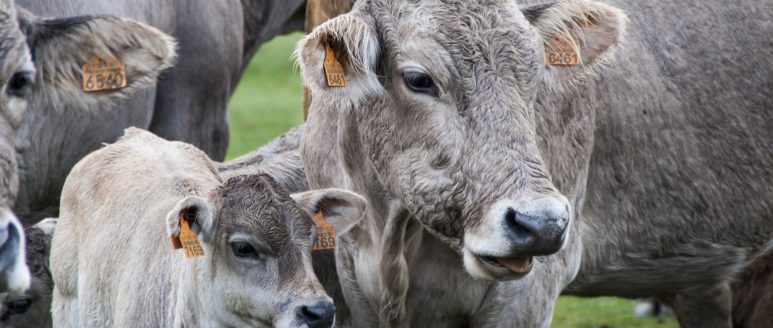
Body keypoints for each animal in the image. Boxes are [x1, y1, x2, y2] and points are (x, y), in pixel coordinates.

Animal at [298, 0, 772, 326]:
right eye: (418, 79)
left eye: (534, 76)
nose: (541, 224)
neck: (392, 239)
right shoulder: (354, 284)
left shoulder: (527, 294)